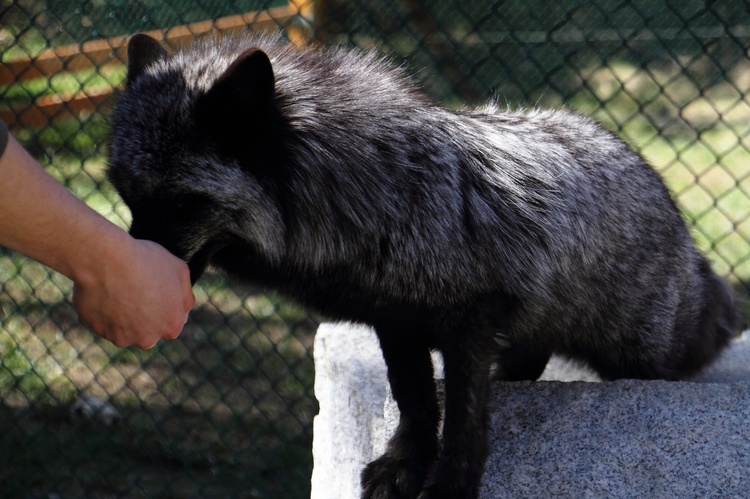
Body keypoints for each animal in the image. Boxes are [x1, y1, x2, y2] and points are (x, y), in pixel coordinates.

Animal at [108, 34, 744, 499]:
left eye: (184, 204)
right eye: (127, 196)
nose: (134, 273)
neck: (380, 190)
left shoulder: (470, 318)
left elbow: (462, 414)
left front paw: (451, 485)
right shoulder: (395, 318)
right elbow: (414, 398)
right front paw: (405, 463)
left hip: (644, 352)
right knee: (529, 356)